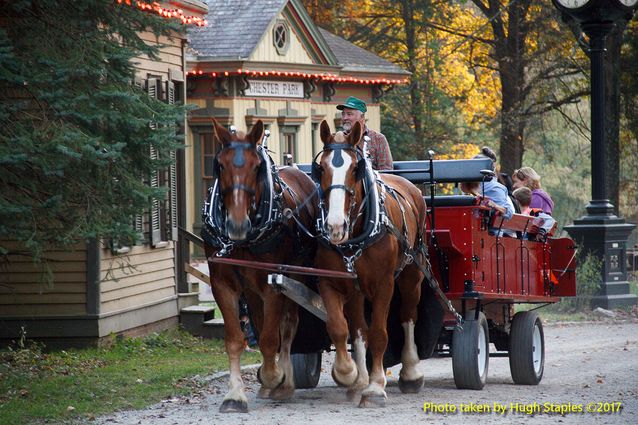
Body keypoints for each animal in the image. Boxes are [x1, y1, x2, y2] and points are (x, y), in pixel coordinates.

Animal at [202, 118, 320, 410]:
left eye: (256, 167)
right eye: (220, 165)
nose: (236, 225)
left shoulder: (273, 283)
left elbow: (269, 339)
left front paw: (273, 377)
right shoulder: (222, 284)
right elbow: (235, 339)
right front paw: (235, 395)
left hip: (294, 277)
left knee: (288, 326)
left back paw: (284, 383)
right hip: (251, 287)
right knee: (260, 318)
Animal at [312, 121, 428, 406]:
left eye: (356, 168)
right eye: (321, 168)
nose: (335, 226)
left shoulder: (384, 284)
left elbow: (378, 333)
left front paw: (375, 386)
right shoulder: (331, 281)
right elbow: (342, 328)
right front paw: (349, 374)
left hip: (412, 276)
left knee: (408, 315)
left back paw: (411, 372)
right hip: (357, 290)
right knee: (358, 328)